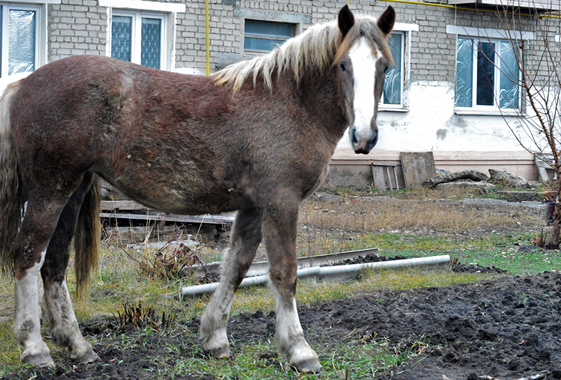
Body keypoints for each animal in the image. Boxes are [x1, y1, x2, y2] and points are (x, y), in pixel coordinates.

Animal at [0, 5, 394, 374]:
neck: (290, 101)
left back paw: (77, 345)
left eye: (385, 67)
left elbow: (236, 266)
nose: (364, 137)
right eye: (342, 65)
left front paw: (215, 337)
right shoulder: (281, 202)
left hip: (73, 189)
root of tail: (23, 84)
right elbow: (284, 273)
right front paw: (299, 350)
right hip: (50, 190)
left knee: (54, 264)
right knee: (28, 255)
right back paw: (35, 347)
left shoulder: (253, 206)